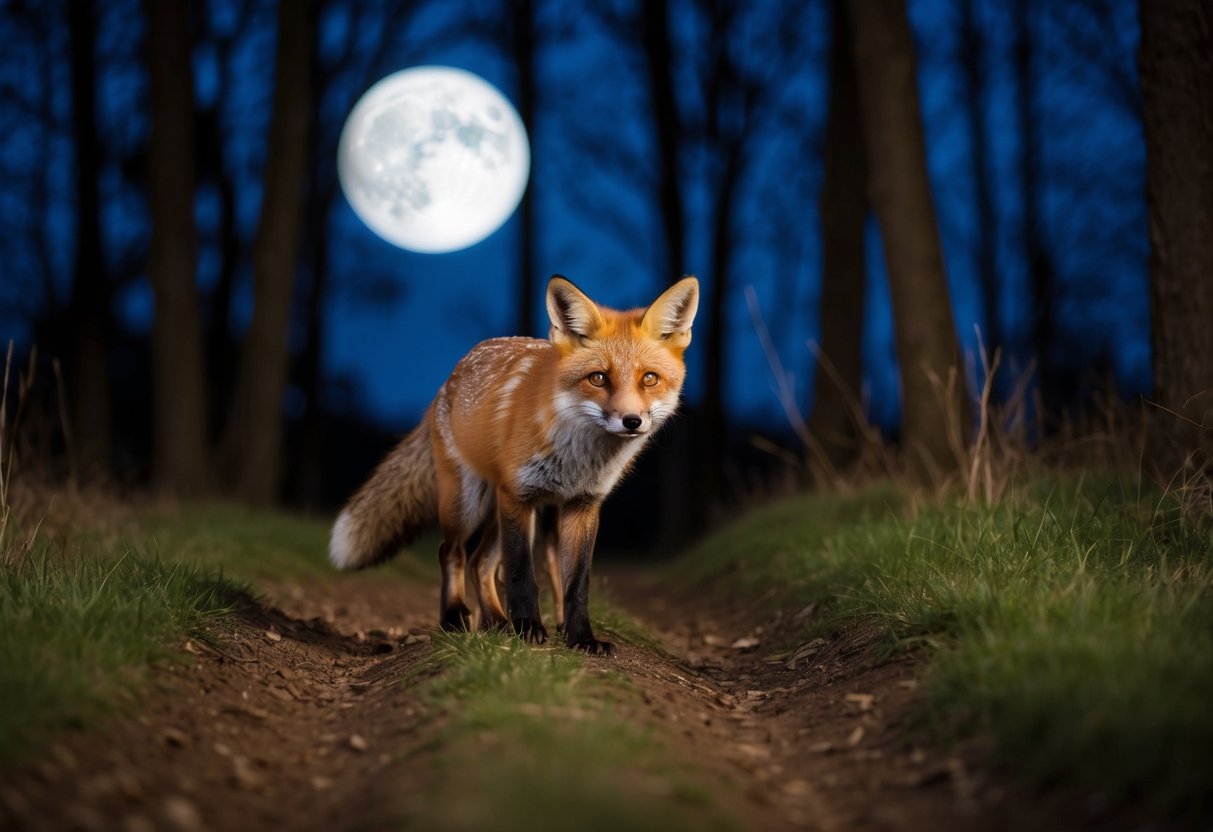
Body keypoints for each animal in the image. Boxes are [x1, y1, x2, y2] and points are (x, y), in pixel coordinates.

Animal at [329, 275, 699, 654]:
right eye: (598, 378)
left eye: (649, 379)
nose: (631, 421)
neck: (578, 457)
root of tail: (448, 381)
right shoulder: (520, 496)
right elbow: (522, 574)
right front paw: (529, 627)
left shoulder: (581, 505)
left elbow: (577, 585)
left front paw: (580, 638)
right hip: (469, 503)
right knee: (452, 552)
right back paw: (455, 618)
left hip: (505, 510)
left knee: (480, 562)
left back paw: (496, 621)